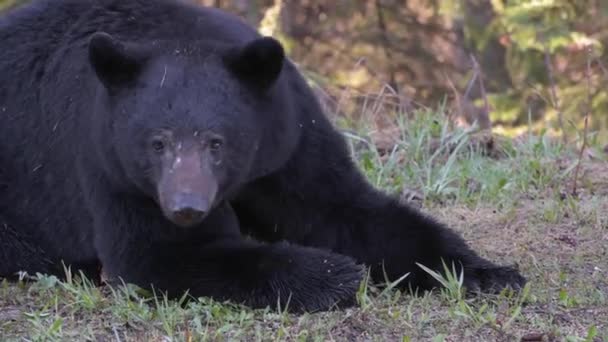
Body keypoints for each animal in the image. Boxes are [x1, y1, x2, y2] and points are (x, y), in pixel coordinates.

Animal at [0, 0, 524, 312]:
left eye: (217, 142)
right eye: (157, 142)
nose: (186, 207)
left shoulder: (287, 136)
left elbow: (345, 209)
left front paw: (487, 272)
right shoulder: (108, 165)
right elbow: (158, 253)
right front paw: (332, 274)